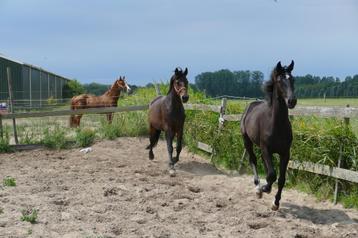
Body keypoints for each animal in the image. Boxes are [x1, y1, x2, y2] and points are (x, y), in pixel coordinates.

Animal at [241, 61, 296, 210]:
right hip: (247, 141)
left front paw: (275, 203)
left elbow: (281, 179)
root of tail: (251, 105)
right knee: (253, 160)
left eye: (293, 79)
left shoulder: (285, 153)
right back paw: (258, 187)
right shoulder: (266, 148)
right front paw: (264, 188)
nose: (292, 101)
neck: (277, 125)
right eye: (280, 80)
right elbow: (272, 174)